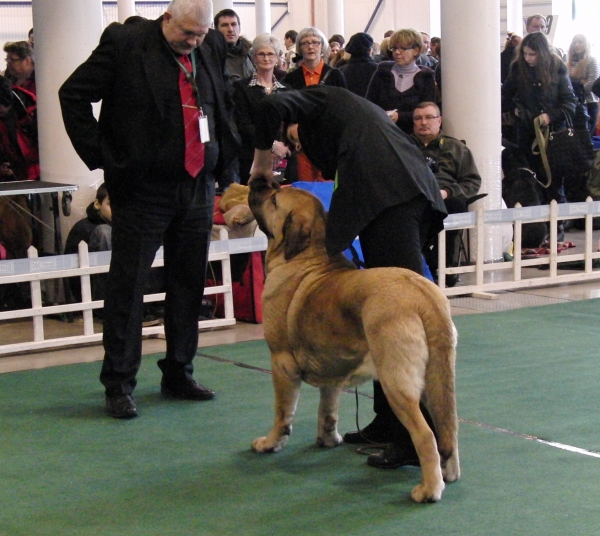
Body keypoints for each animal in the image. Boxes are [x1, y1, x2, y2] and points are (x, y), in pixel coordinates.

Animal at [248, 179, 460, 502]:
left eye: (274, 199)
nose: (259, 183)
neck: (307, 255)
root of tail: (424, 295)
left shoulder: (282, 364)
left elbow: (283, 413)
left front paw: (270, 443)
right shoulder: (332, 367)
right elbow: (328, 408)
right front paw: (328, 438)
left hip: (396, 382)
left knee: (425, 435)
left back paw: (428, 489)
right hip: (438, 380)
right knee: (448, 427)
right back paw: (449, 474)